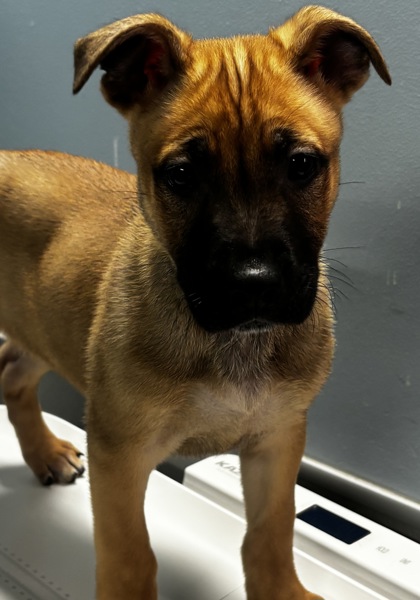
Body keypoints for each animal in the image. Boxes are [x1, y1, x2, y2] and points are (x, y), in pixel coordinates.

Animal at [0, 6, 390, 599]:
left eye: (302, 165)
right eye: (181, 175)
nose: (254, 284)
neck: (230, 345)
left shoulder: (278, 439)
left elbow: (272, 532)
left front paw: (281, 590)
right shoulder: (120, 452)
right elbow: (130, 556)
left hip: (42, 323)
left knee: (13, 373)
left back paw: (45, 454)